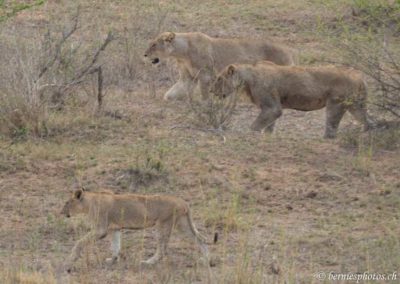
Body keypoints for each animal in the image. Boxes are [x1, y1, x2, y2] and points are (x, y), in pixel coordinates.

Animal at [60, 187, 212, 272]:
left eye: (67, 203)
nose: (61, 212)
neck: (88, 203)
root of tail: (183, 201)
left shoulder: (101, 229)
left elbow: (79, 243)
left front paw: (70, 260)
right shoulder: (115, 229)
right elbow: (116, 246)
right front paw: (113, 260)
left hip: (163, 225)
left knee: (162, 249)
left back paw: (148, 262)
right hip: (182, 224)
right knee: (200, 239)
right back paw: (206, 259)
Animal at [145, 31, 296, 100]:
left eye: (154, 45)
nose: (145, 54)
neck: (182, 54)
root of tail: (287, 49)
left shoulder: (205, 75)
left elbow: (204, 94)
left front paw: (206, 105)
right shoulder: (187, 78)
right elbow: (172, 93)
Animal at [209, 61, 376, 138]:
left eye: (219, 79)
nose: (211, 91)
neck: (247, 79)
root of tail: (360, 77)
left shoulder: (272, 107)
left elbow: (256, 125)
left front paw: (251, 133)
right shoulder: (271, 108)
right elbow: (269, 125)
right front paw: (268, 135)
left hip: (335, 103)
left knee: (332, 127)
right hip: (355, 105)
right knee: (367, 120)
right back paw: (368, 132)